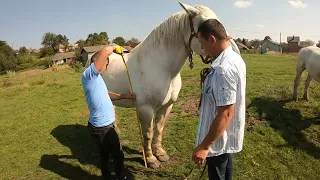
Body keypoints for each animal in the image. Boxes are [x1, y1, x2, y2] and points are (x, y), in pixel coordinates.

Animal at [85, 1, 240, 168]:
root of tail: (93, 57)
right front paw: (150, 159)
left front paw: (159, 153)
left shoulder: (167, 106)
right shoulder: (146, 109)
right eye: (206, 25)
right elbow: (148, 133)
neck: (161, 68)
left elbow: (159, 129)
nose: (234, 50)